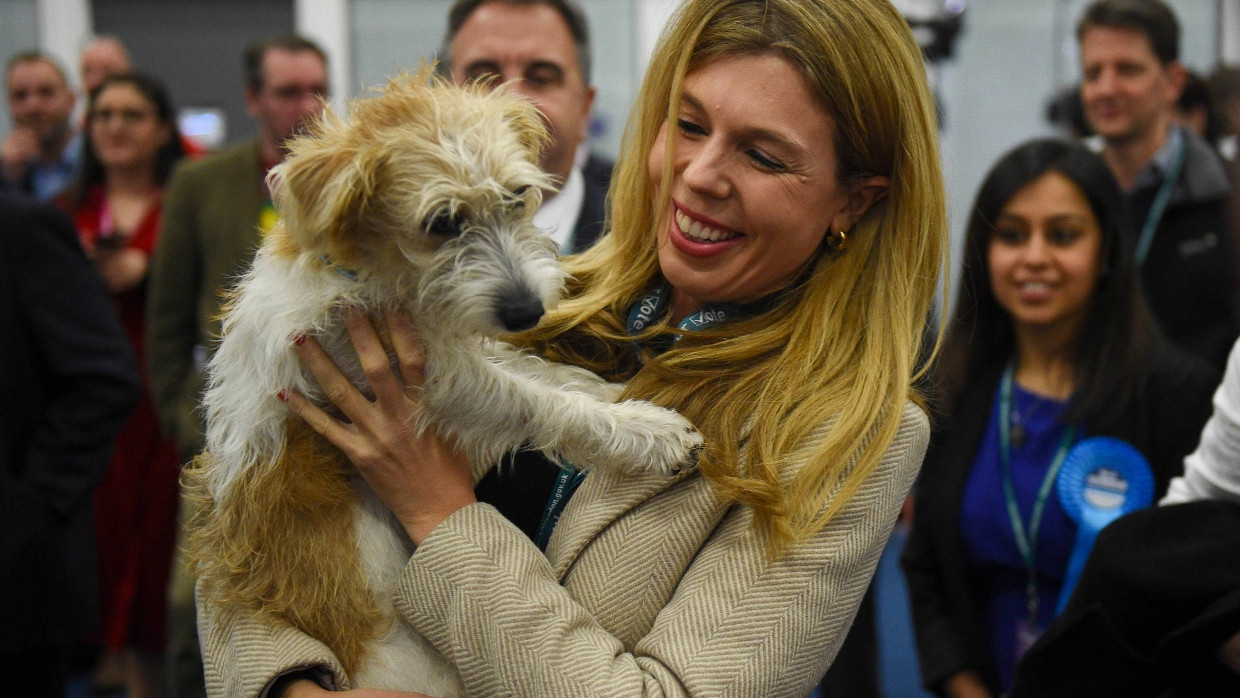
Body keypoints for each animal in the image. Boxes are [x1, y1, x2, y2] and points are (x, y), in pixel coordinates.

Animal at [188, 69, 704, 694]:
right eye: (442, 223)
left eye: (516, 196)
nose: (528, 311)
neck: (372, 274)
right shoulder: (435, 382)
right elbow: (536, 400)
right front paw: (648, 432)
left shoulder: (447, 348)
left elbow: (537, 370)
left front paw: (613, 392)